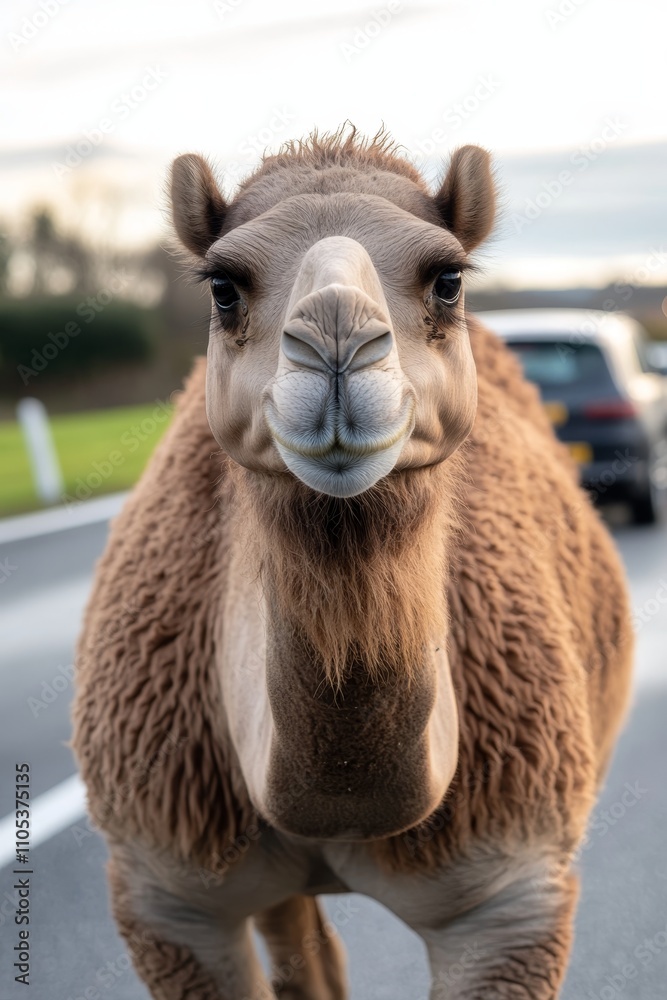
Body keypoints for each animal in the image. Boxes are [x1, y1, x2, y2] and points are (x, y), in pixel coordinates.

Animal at [72, 129, 633, 999]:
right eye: (223, 288)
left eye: (447, 279)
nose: (335, 341)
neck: (333, 803)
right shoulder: (165, 893)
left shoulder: (510, 897)